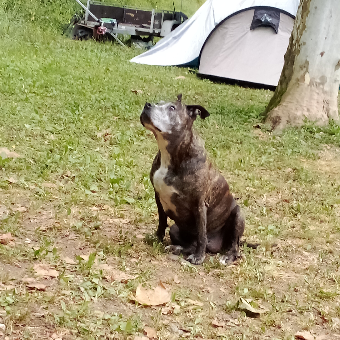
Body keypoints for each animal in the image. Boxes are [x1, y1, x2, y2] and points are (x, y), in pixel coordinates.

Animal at [140, 94, 244, 264]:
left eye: (172, 108)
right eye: (158, 102)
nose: (147, 105)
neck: (172, 154)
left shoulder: (199, 205)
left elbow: (202, 234)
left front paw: (199, 257)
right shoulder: (158, 197)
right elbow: (162, 221)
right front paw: (157, 239)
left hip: (238, 216)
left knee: (233, 246)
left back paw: (226, 256)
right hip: (176, 228)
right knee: (189, 243)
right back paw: (177, 248)